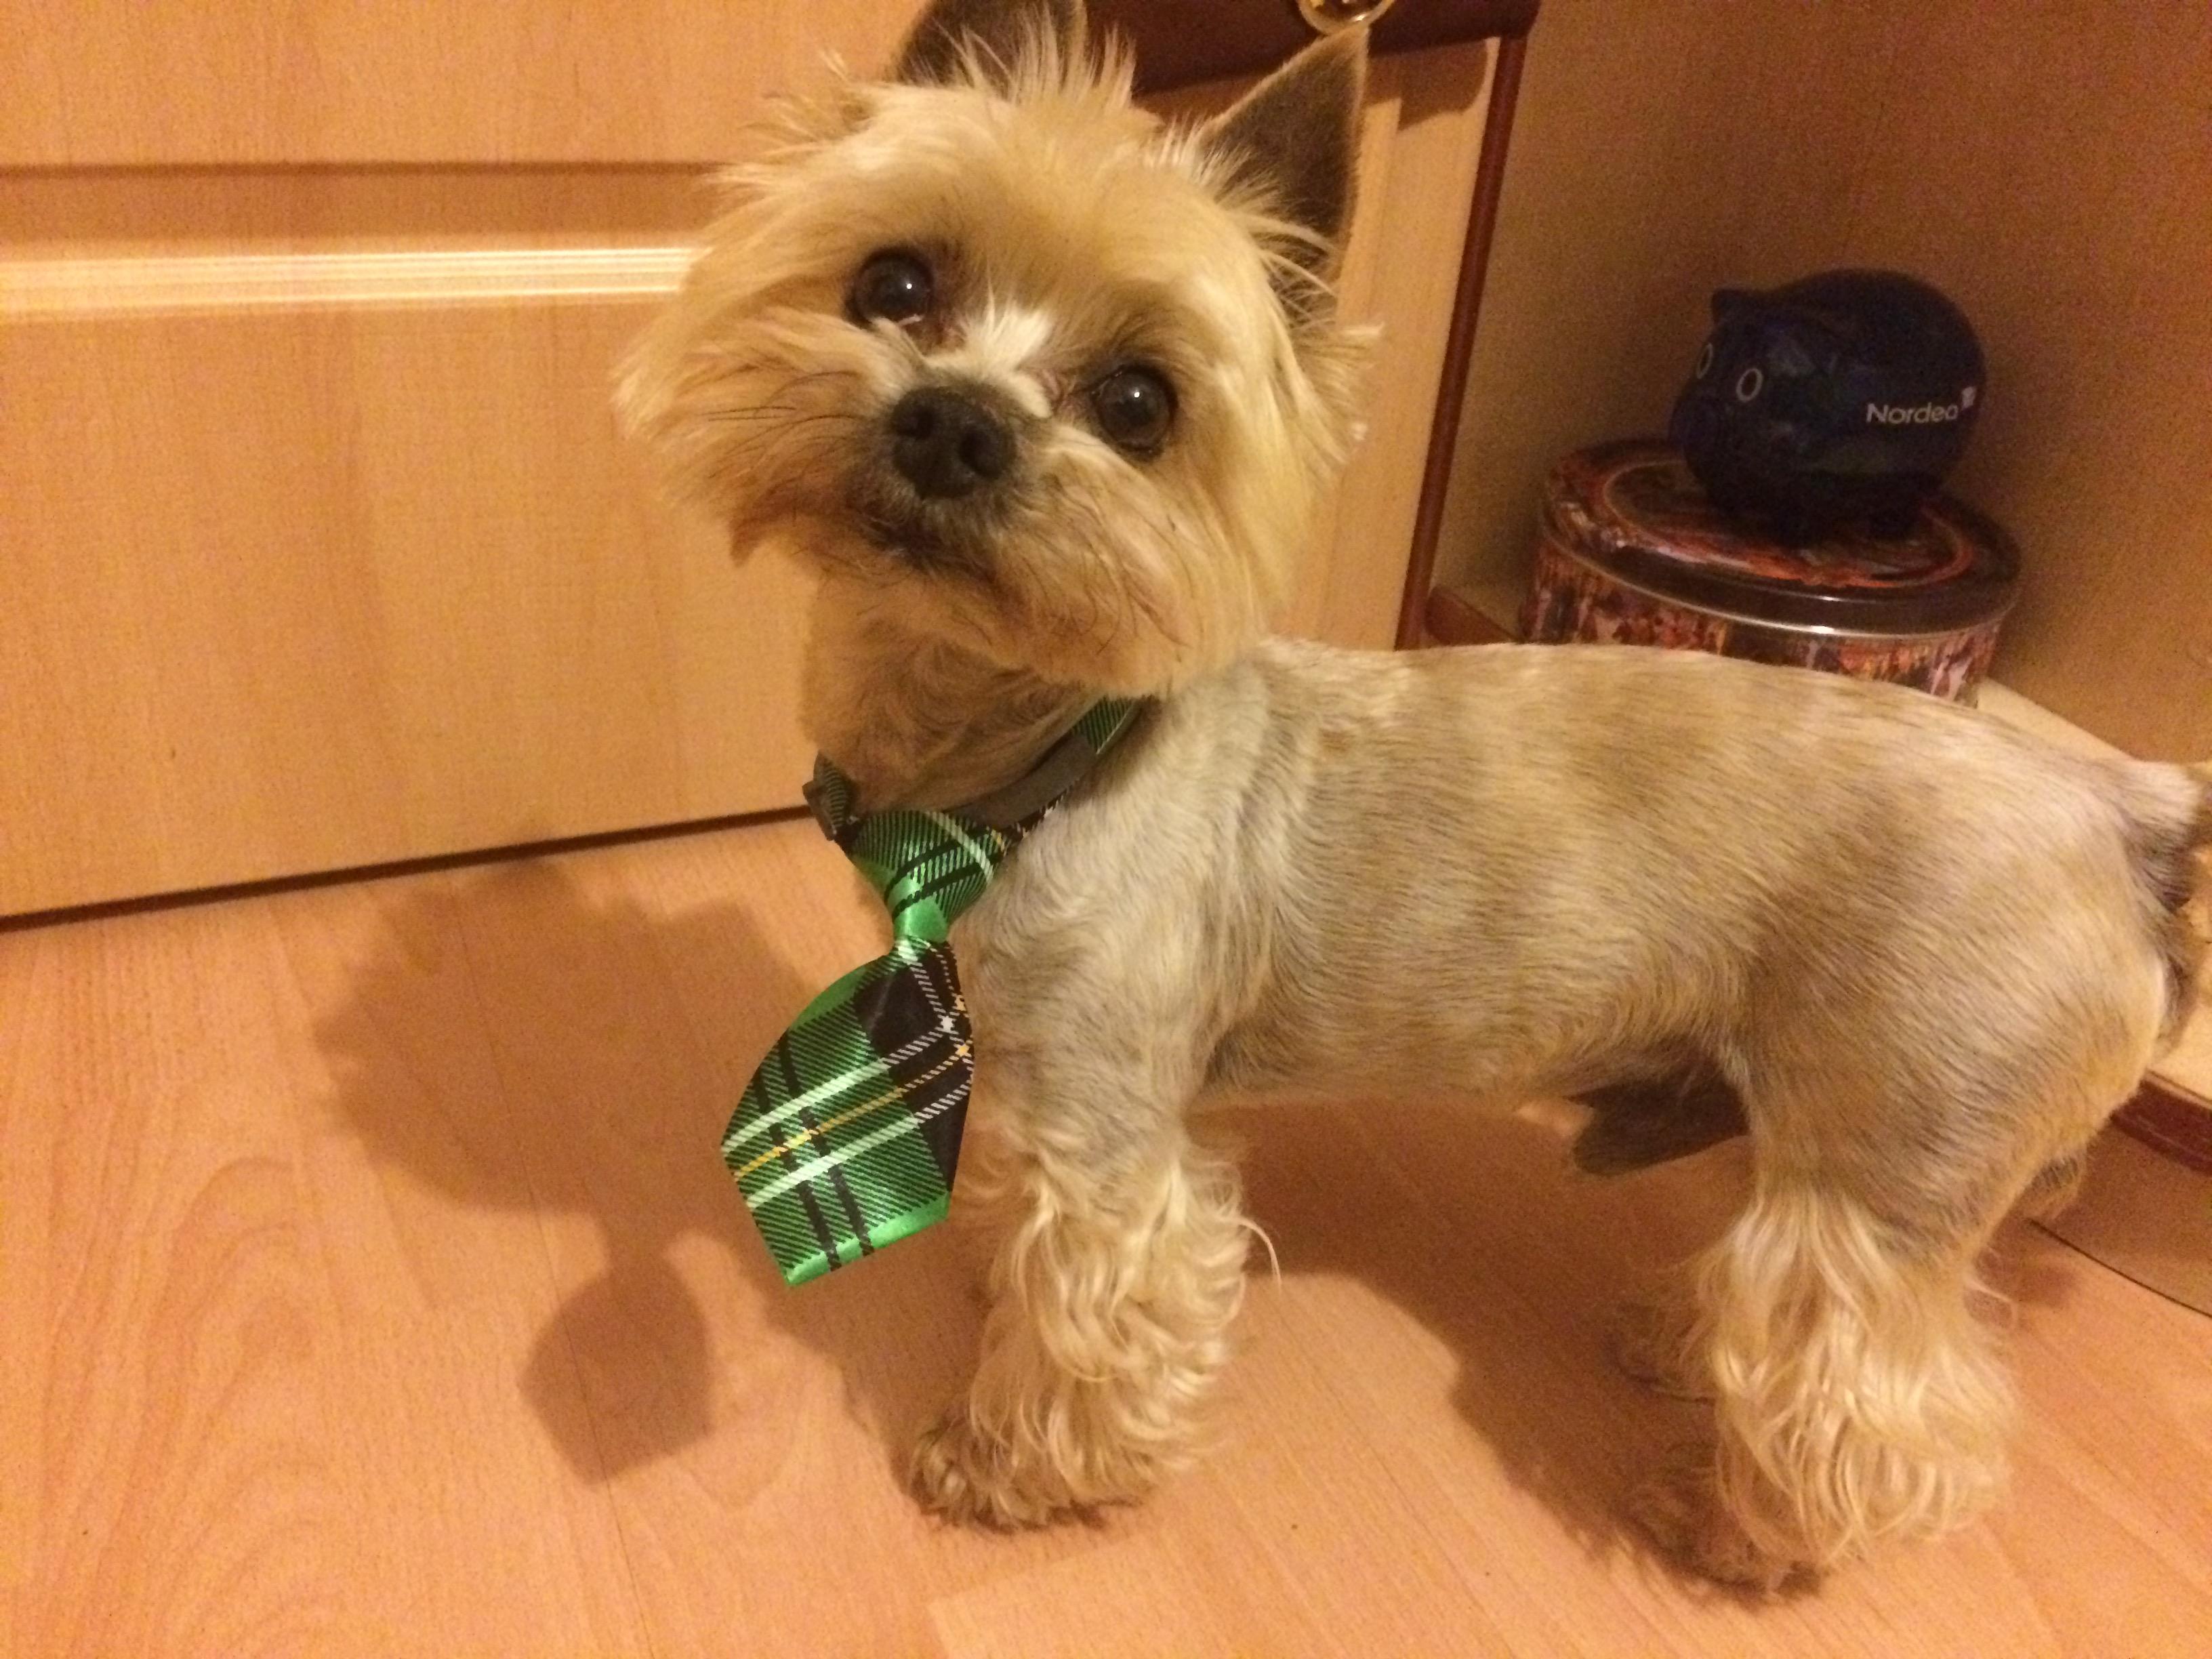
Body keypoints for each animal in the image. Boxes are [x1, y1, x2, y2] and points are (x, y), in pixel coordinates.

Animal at [619, 0, 2211, 1587]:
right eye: (893, 282)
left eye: (1139, 404)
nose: (955, 423)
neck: (1020, 775)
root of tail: (2118, 813)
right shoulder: (1037, 1073)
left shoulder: (1110, 1127)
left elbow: (1095, 1309)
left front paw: (1006, 1462)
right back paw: (1677, 1348)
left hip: (1888, 1161)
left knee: (1874, 1396)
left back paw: (1733, 1529)